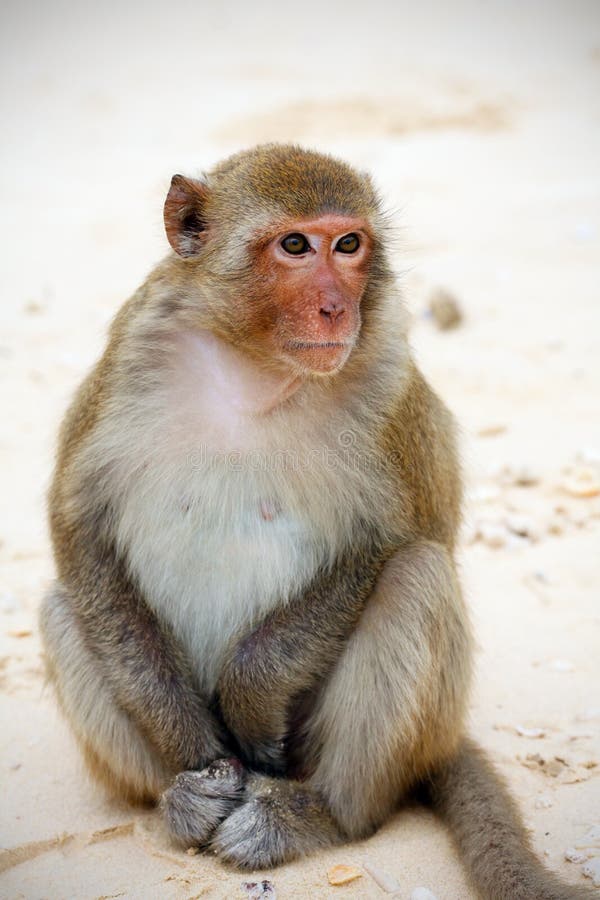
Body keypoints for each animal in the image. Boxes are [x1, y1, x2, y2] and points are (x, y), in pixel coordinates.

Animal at [39, 144, 592, 899]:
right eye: (296, 246)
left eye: (349, 245)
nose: (336, 308)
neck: (255, 368)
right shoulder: (132, 354)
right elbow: (81, 528)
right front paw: (196, 754)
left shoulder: (386, 378)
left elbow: (394, 539)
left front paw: (250, 695)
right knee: (65, 605)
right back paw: (176, 804)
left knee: (417, 577)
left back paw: (318, 815)